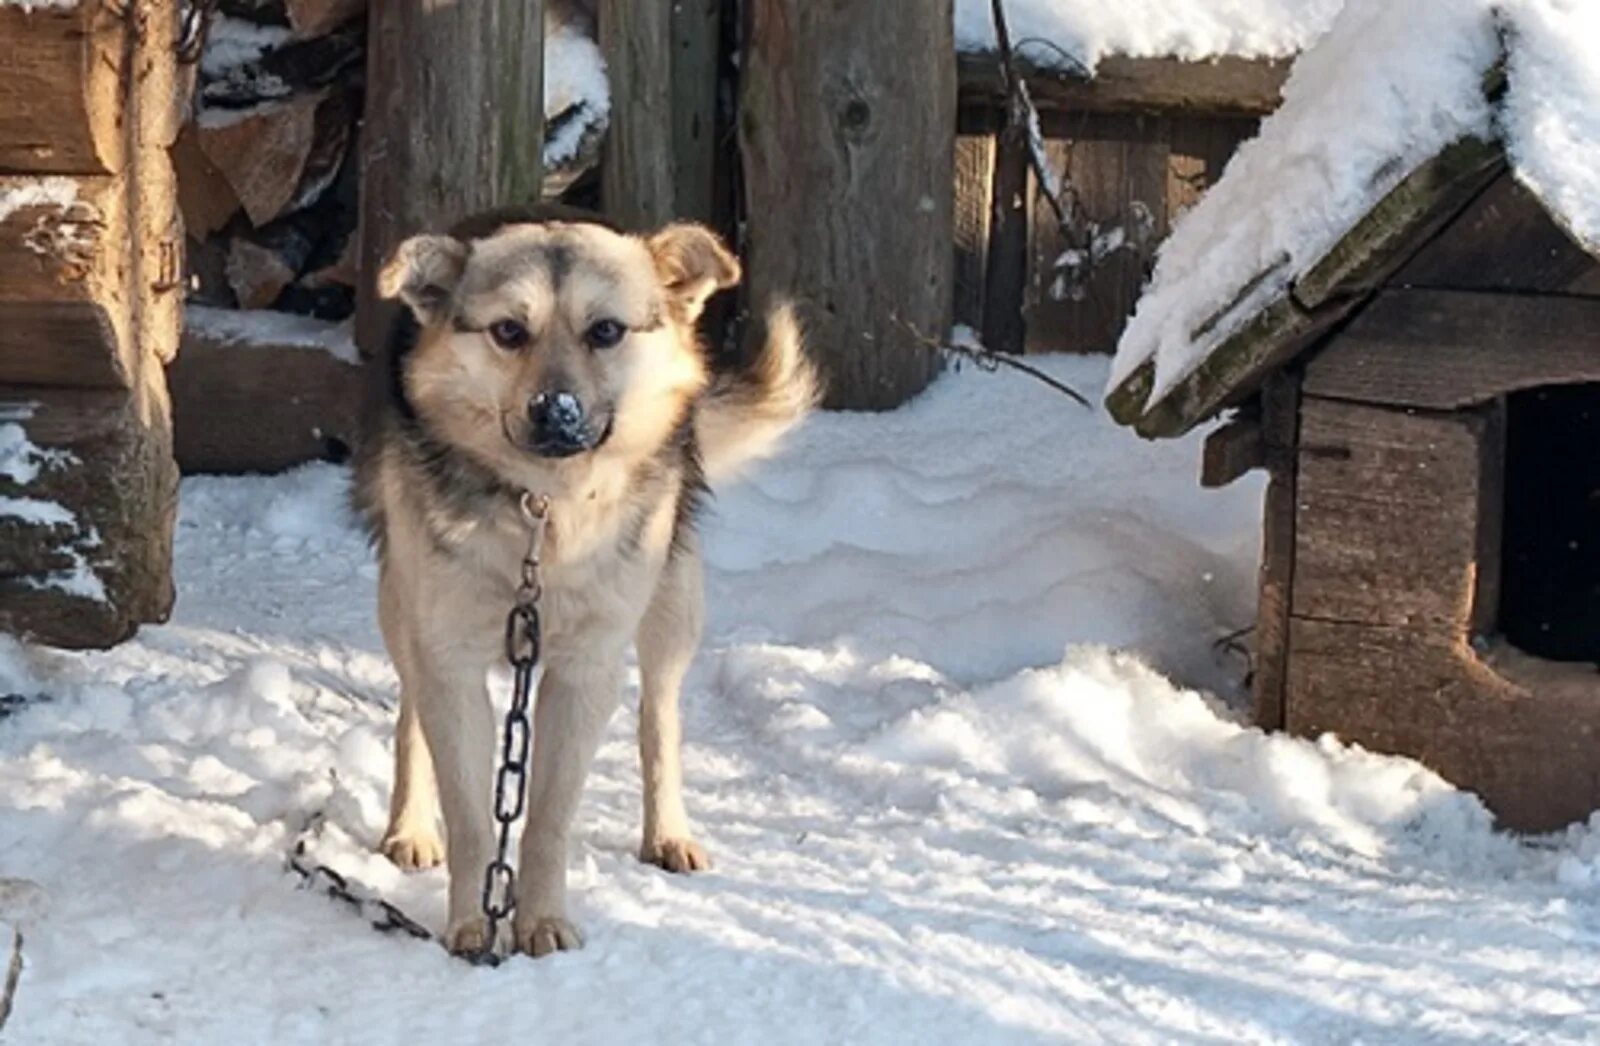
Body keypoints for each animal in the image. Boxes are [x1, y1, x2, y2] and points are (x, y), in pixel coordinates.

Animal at [356, 209, 819, 966]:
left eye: (604, 330)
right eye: (508, 330)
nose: (556, 411)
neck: (544, 511)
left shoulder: (584, 667)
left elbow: (547, 817)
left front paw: (541, 920)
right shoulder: (448, 654)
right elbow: (470, 811)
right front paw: (473, 924)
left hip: (673, 602)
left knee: (659, 717)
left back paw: (668, 832)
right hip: (400, 605)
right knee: (410, 716)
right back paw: (409, 825)